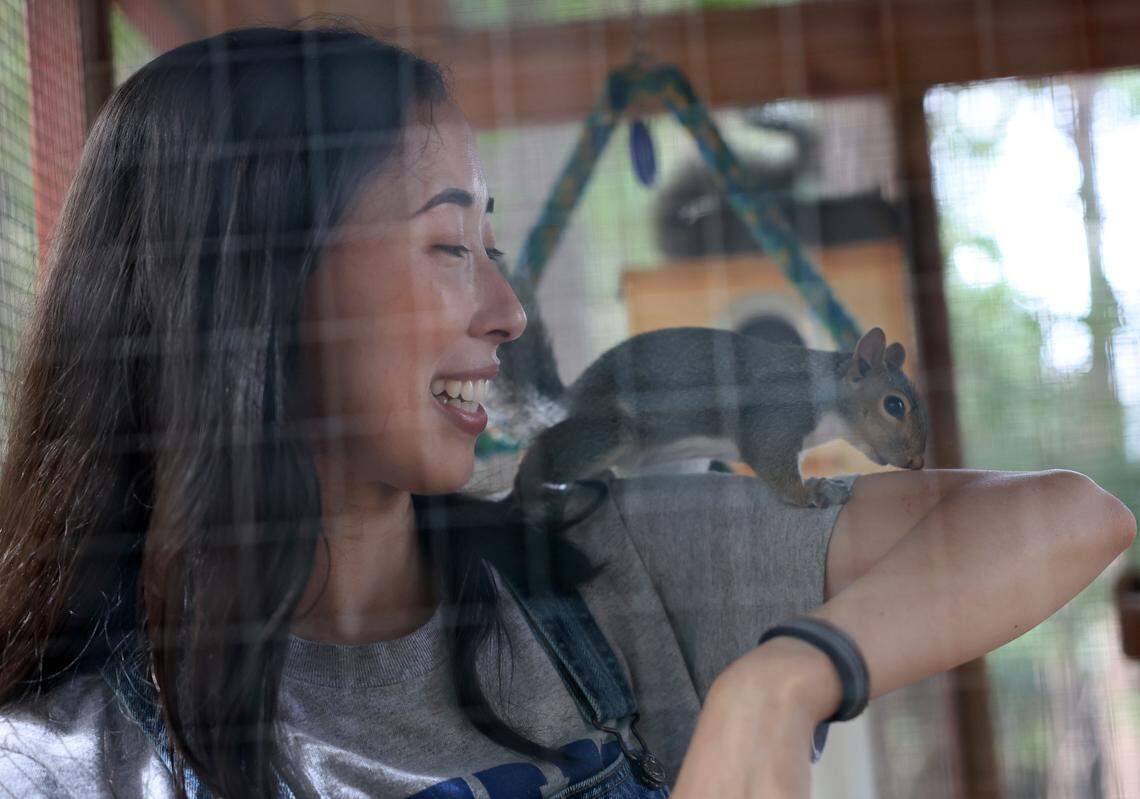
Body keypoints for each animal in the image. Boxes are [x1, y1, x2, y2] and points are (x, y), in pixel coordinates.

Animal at [509, 324, 928, 509]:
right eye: (894, 405)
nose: (917, 463)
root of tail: (576, 392)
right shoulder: (776, 416)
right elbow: (771, 462)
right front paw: (814, 492)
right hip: (608, 431)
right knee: (553, 448)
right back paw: (528, 485)